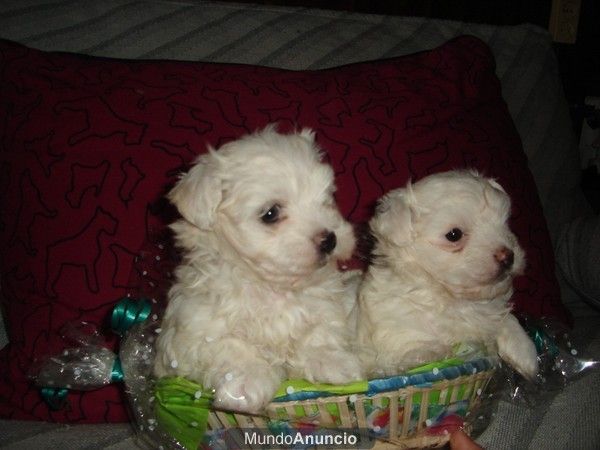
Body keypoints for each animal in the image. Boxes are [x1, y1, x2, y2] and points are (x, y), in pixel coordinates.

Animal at [152, 125, 364, 414]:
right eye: (271, 213)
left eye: (327, 199)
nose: (330, 239)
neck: (271, 286)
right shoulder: (198, 327)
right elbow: (231, 346)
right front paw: (247, 383)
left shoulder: (320, 307)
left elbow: (316, 333)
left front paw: (333, 361)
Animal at [356, 171, 540, 378]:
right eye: (454, 235)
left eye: (505, 224)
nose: (508, 256)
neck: (451, 299)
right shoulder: (395, 339)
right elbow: (415, 349)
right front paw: (434, 353)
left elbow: (505, 318)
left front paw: (524, 350)